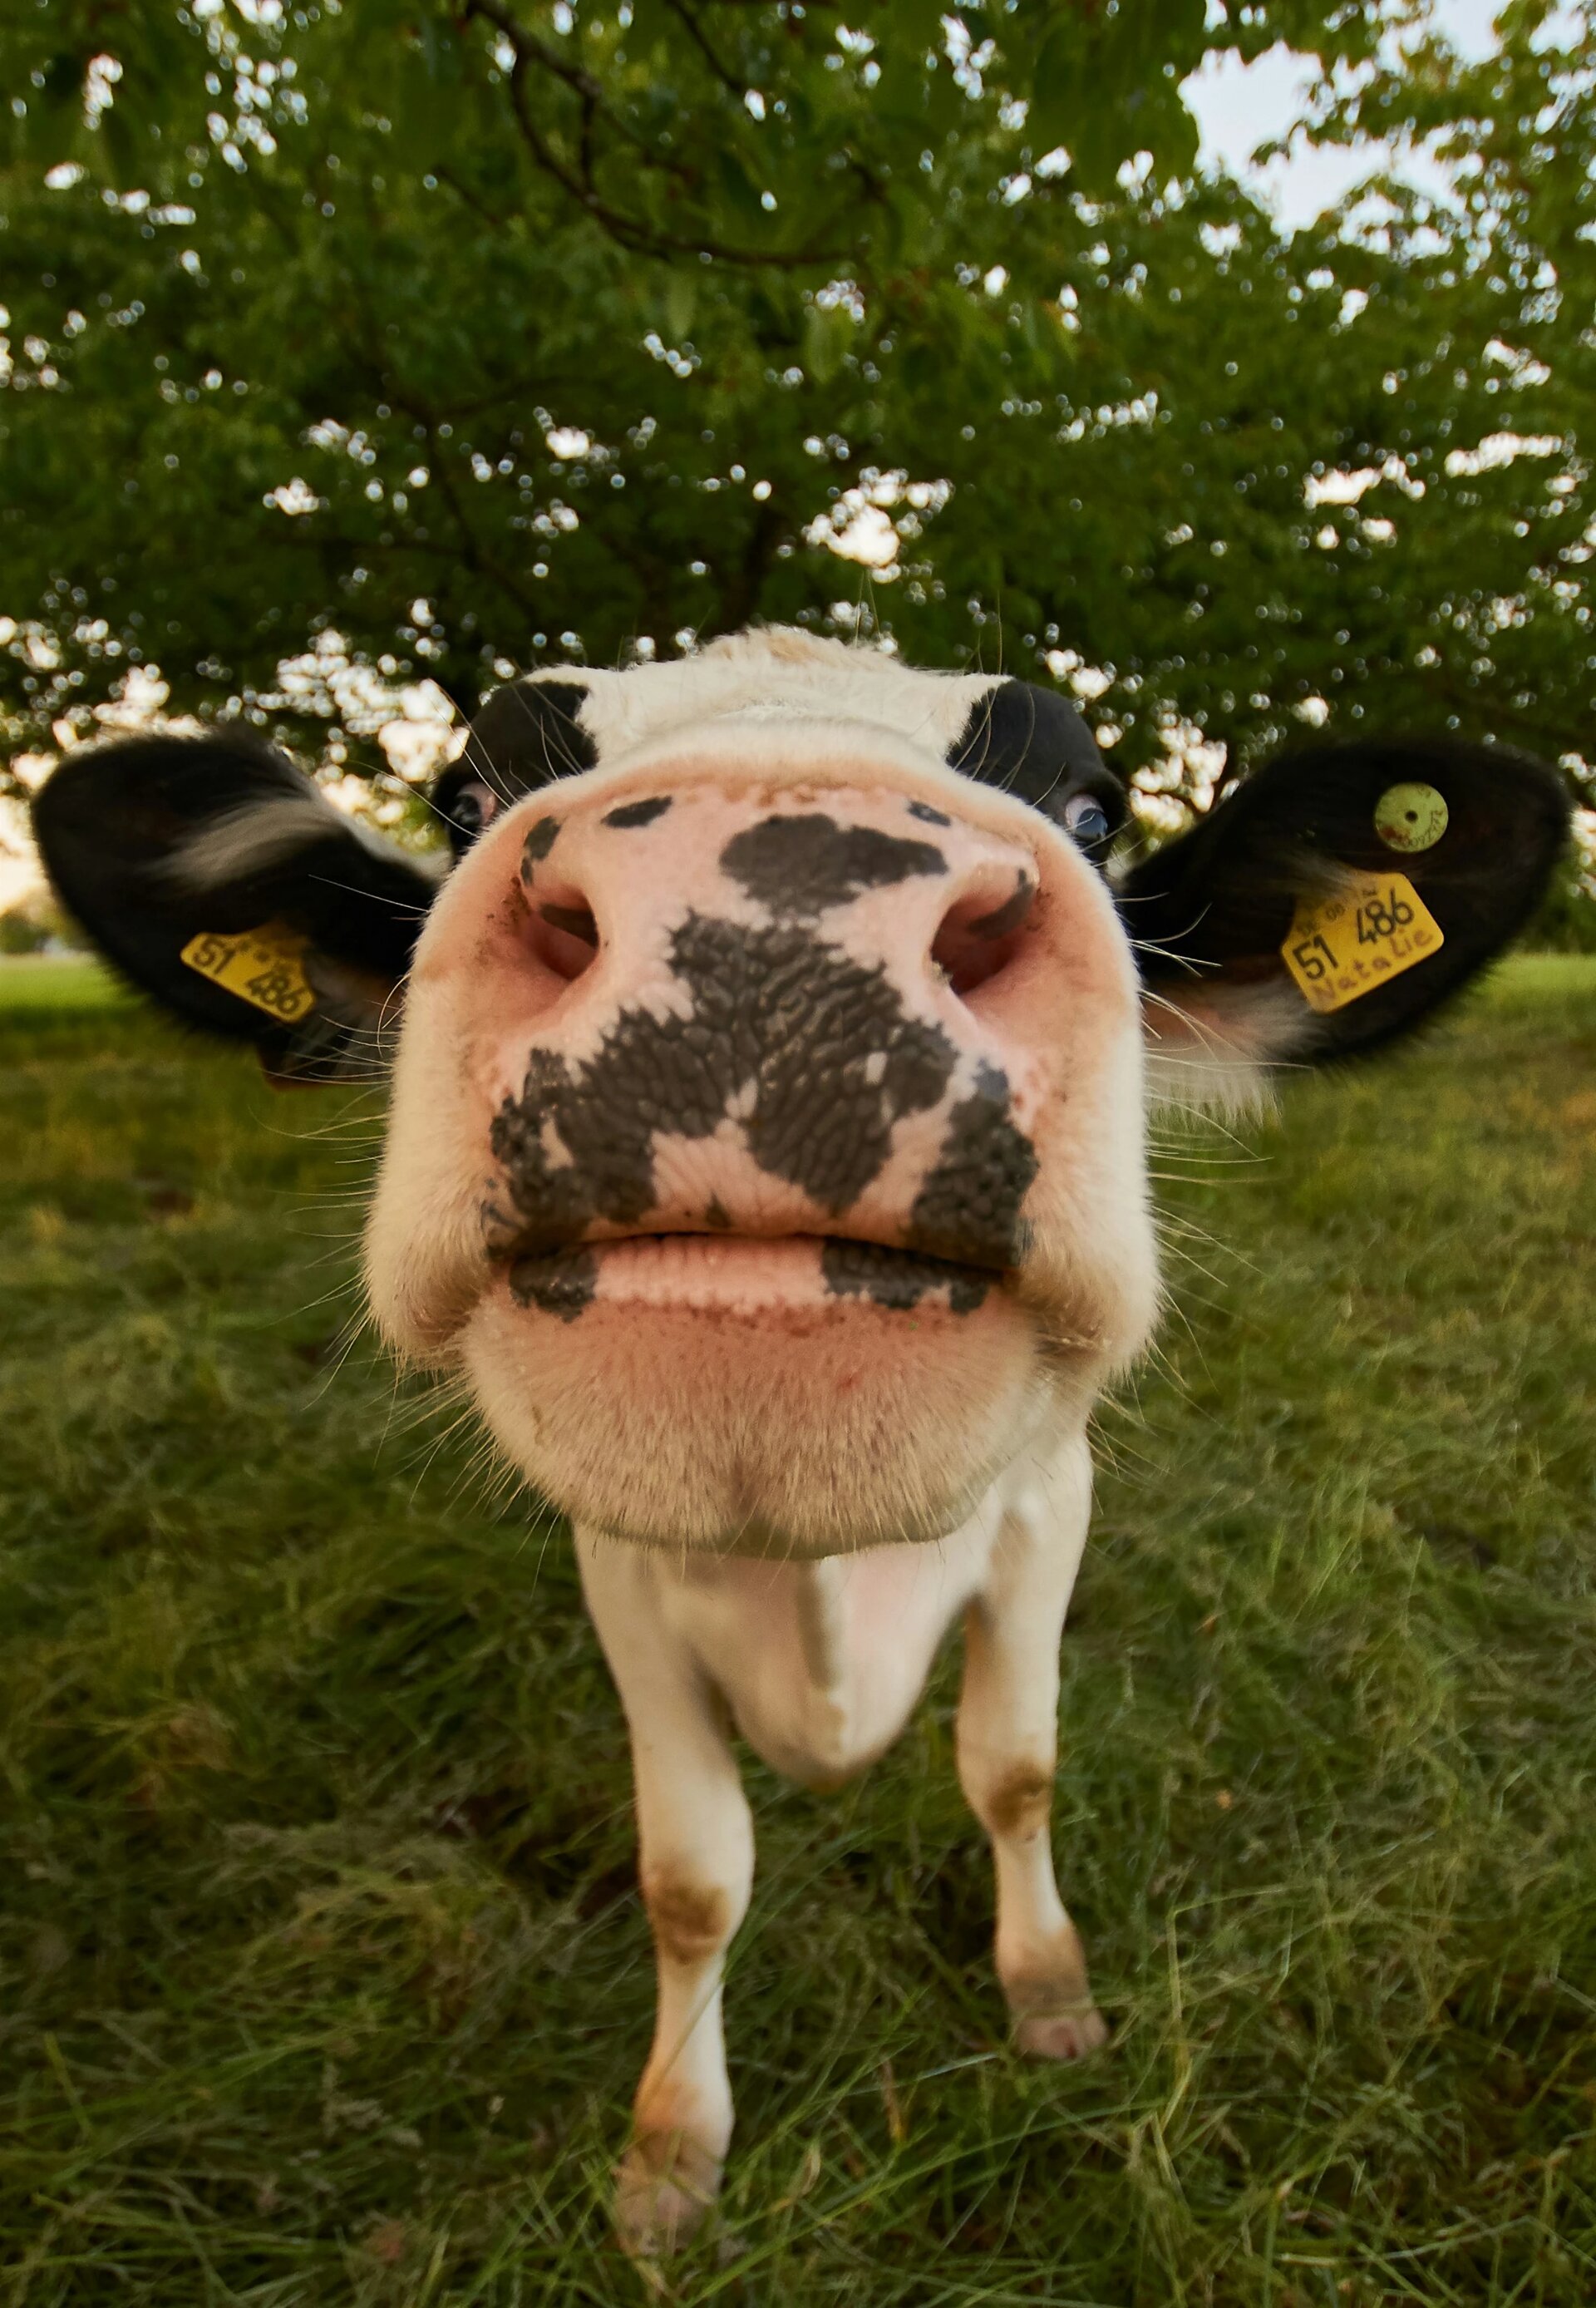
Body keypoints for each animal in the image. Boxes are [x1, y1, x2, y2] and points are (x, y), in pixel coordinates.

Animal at [34, 629, 1569, 2255]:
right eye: (463, 799)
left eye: (1095, 809)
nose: (764, 923)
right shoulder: (623, 1576)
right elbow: (692, 1879)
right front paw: (670, 2150)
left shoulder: (1049, 1508)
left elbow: (1015, 1770)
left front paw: (1048, 1990)